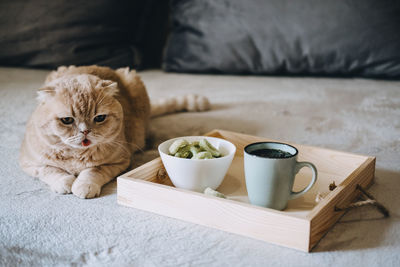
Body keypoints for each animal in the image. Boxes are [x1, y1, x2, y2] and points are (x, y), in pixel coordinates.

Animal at [19, 65, 209, 199]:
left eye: (99, 118)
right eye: (67, 120)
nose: (85, 131)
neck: (76, 156)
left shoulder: (119, 162)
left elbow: (94, 171)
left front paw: (83, 185)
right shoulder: (29, 163)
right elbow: (50, 170)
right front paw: (64, 181)